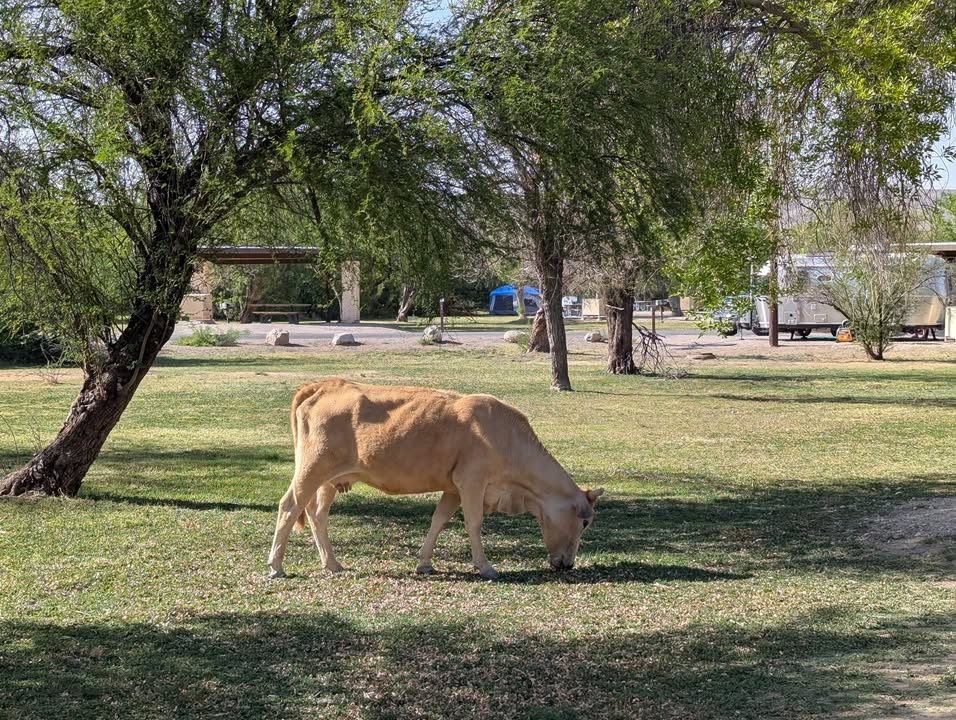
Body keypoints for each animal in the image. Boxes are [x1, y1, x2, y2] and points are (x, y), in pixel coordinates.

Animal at [268, 378, 603, 580]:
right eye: (585, 522)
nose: (569, 563)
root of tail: (326, 384)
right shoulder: (472, 480)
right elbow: (474, 523)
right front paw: (485, 567)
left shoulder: (453, 487)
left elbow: (438, 521)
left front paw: (425, 562)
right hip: (312, 469)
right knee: (289, 506)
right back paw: (276, 566)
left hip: (329, 479)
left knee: (316, 513)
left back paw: (332, 564)